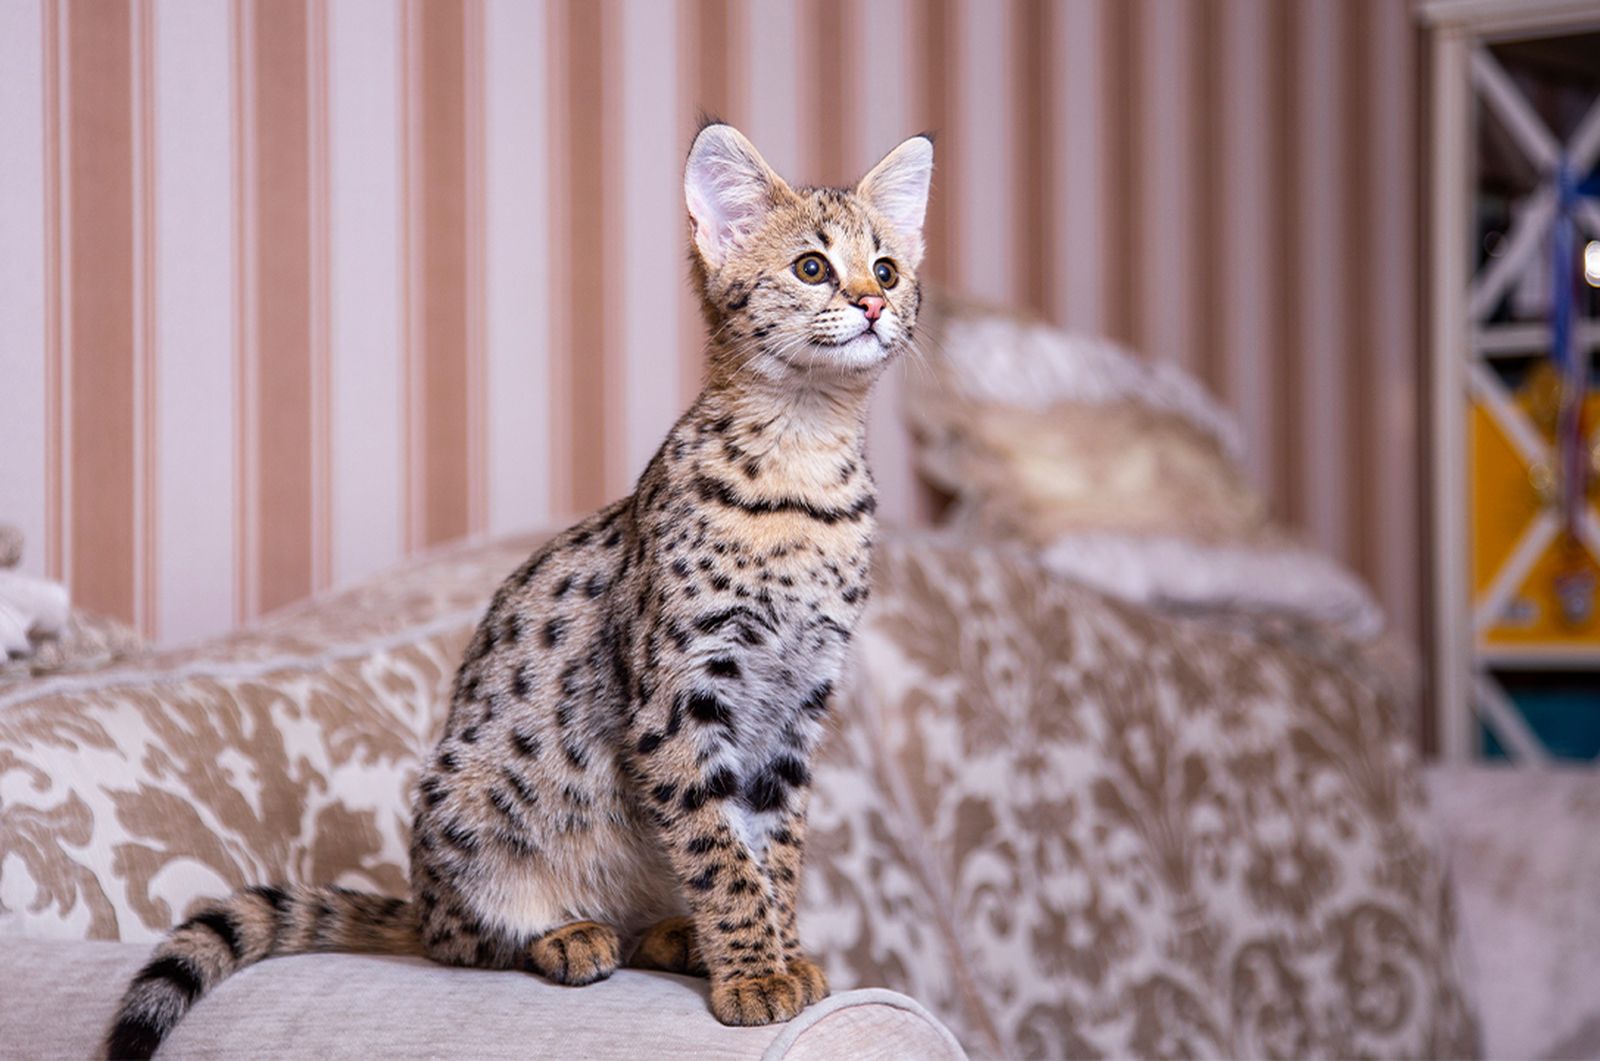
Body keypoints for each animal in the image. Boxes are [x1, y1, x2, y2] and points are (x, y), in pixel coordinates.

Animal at [106, 122, 934, 1056]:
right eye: (812, 268)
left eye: (888, 269)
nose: (872, 306)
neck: (806, 467)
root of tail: (418, 900)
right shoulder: (680, 699)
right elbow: (721, 853)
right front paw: (755, 974)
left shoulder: (795, 710)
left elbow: (774, 853)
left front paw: (780, 953)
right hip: (464, 794)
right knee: (460, 941)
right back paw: (567, 933)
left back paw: (668, 934)